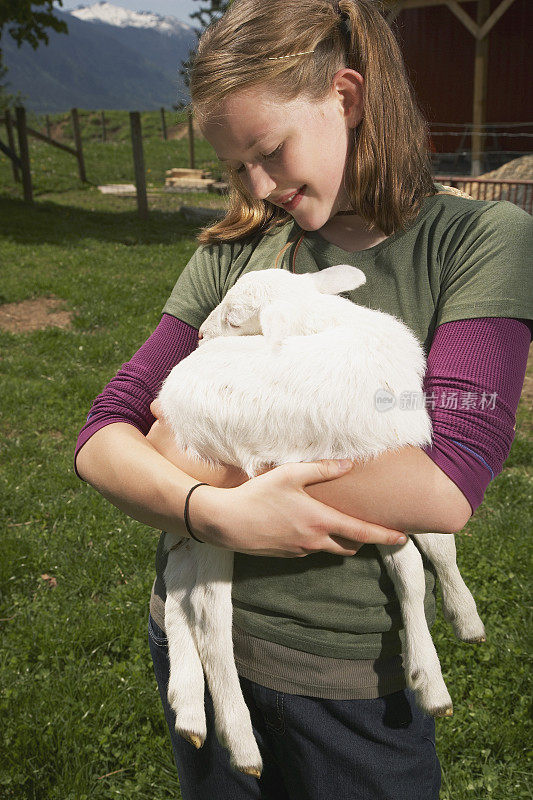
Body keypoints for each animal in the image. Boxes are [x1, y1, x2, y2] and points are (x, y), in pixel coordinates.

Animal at [156, 266, 484, 780]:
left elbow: (418, 563)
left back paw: (189, 712)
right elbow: (431, 545)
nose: (202, 335)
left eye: (235, 316)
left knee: (179, 595)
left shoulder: (385, 483)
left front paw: (448, 642)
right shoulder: (392, 457)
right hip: (222, 515)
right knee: (209, 617)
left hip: (193, 529)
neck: (331, 322)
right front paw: (456, 630)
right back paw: (242, 744)